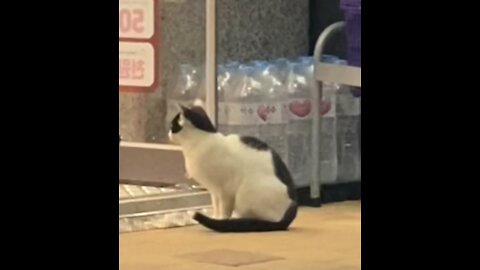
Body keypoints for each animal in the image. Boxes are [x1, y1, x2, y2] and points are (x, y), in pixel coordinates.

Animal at [169, 100, 296, 232]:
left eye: (172, 126)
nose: (168, 134)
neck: (198, 142)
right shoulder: (214, 191)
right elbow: (216, 206)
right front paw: (216, 216)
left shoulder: (225, 190)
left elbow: (224, 209)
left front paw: (221, 220)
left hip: (245, 194)